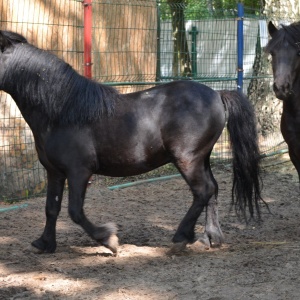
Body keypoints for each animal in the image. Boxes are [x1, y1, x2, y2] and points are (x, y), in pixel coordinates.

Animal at [0, 30, 262, 254]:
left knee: (203, 190)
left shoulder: (78, 171)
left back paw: (181, 237)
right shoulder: (54, 171)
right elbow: (51, 208)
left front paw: (108, 239)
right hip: (202, 158)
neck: (63, 111)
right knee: (212, 189)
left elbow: (75, 211)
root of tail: (217, 94)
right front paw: (44, 243)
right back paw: (210, 237)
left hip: (188, 159)